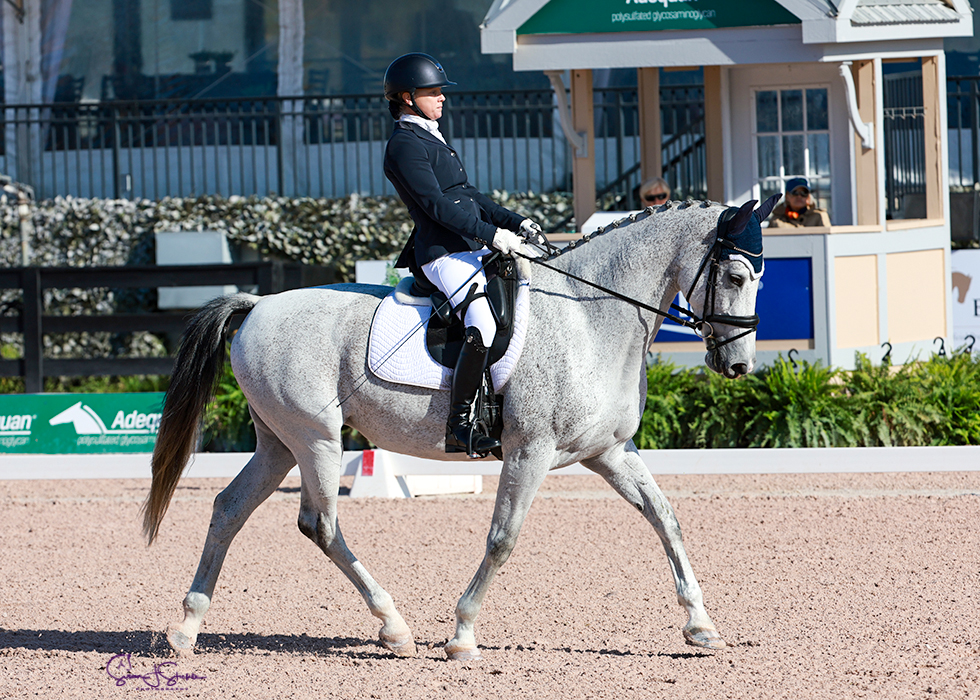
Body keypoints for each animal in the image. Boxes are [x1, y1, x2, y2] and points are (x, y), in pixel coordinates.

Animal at [142, 198, 768, 660]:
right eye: (737, 275)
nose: (738, 366)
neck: (589, 316)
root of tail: (257, 306)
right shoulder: (529, 450)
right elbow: (503, 538)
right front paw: (463, 635)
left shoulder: (608, 451)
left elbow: (666, 518)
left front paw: (701, 627)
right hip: (315, 437)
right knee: (320, 524)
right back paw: (393, 626)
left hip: (279, 442)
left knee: (230, 508)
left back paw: (187, 629)